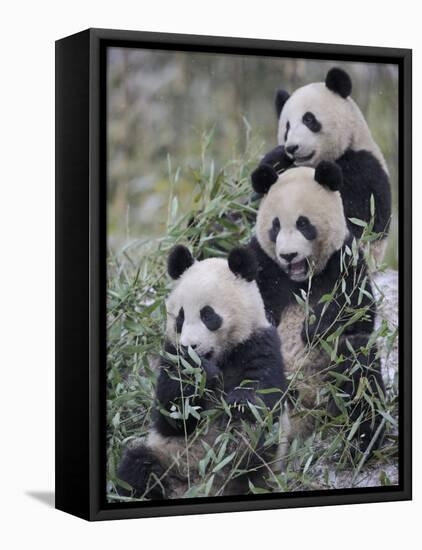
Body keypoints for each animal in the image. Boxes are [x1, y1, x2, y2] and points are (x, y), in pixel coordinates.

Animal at [117, 246, 292, 500]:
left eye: (208, 315)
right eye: (180, 317)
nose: (190, 346)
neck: (220, 357)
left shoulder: (259, 343)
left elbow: (263, 393)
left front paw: (238, 405)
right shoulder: (171, 355)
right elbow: (172, 413)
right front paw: (199, 375)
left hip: (264, 466)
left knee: (255, 447)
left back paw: (238, 453)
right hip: (165, 455)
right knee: (136, 467)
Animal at [249, 162, 388, 454]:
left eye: (303, 224)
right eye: (275, 226)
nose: (288, 255)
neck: (301, 280)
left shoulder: (344, 261)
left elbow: (357, 312)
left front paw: (312, 328)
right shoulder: (262, 264)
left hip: (332, 375)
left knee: (360, 369)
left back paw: (361, 443)